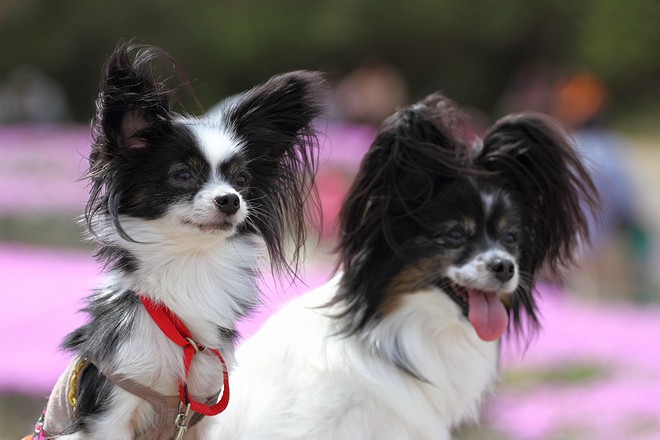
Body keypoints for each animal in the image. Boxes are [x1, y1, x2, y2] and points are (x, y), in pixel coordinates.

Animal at [32, 43, 327, 439]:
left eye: (242, 181)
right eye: (183, 175)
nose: (231, 200)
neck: (190, 265)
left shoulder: (202, 409)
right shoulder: (110, 411)